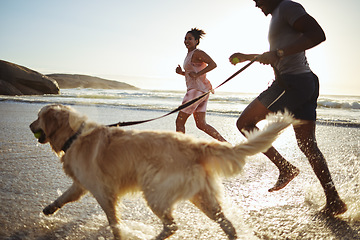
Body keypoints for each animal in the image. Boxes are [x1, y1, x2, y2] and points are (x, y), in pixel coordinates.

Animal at [29, 104, 294, 239]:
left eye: (38, 116)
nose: (30, 126)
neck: (75, 135)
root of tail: (195, 145)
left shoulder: (103, 191)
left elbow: (113, 221)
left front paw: (118, 233)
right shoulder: (83, 183)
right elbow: (66, 195)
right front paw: (49, 208)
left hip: (155, 191)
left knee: (172, 226)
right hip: (202, 196)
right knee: (226, 223)